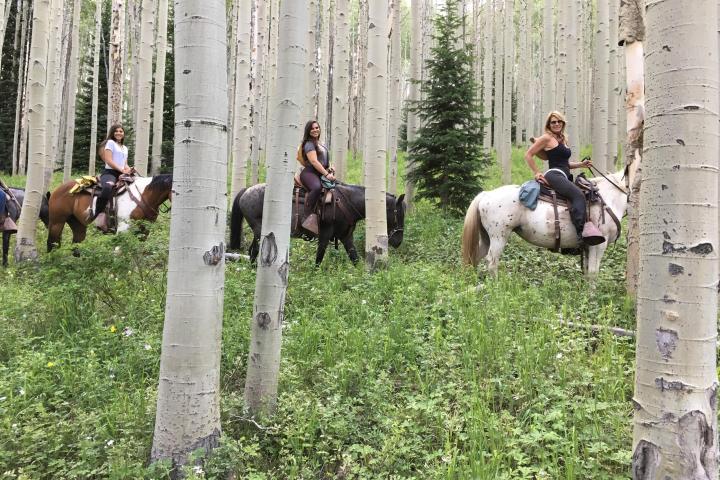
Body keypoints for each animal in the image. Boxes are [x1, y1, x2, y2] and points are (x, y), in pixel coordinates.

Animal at [464, 171, 628, 280]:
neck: (610, 197)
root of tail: (486, 194)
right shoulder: (598, 245)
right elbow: (594, 272)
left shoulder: (588, 247)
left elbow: (588, 271)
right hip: (499, 237)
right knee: (491, 261)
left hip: (487, 237)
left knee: (476, 257)